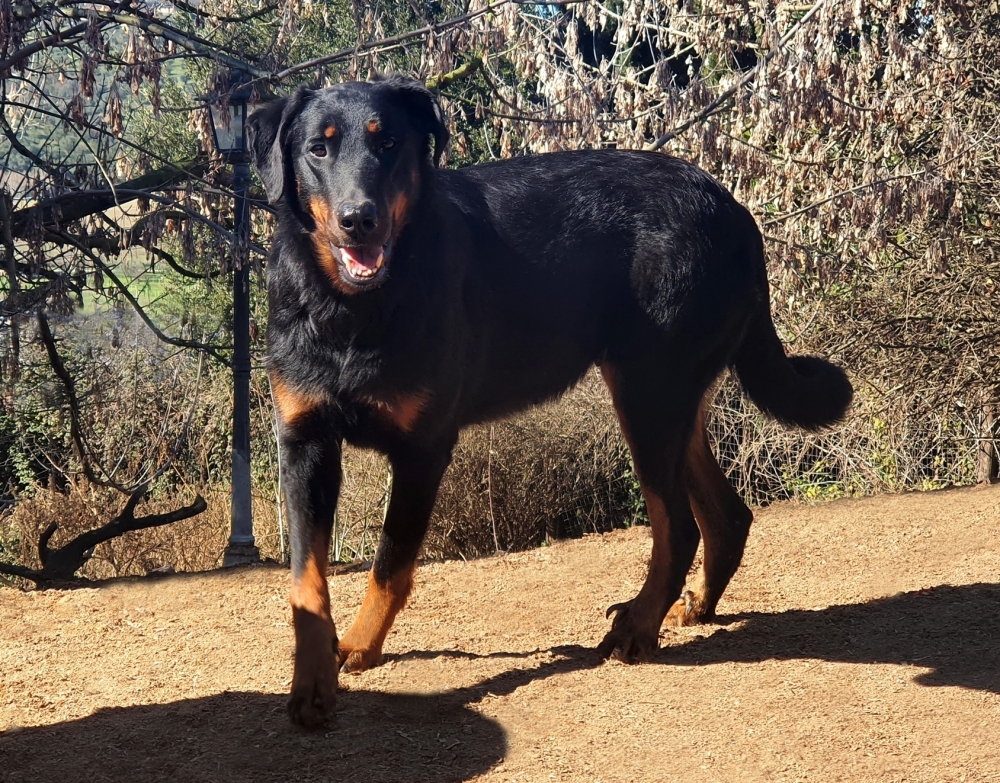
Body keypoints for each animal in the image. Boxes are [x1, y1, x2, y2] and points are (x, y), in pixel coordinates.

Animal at [248, 76, 852, 724]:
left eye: (388, 145)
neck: (350, 309)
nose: (359, 219)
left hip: (647, 394)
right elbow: (307, 580)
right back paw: (691, 607)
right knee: (726, 517)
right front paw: (312, 681)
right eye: (318, 148)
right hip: (669, 401)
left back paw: (637, 627)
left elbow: (391, 561)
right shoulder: (304, 442)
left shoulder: (423, 450)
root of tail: (734, 210)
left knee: (679, 527)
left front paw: (360, 646)